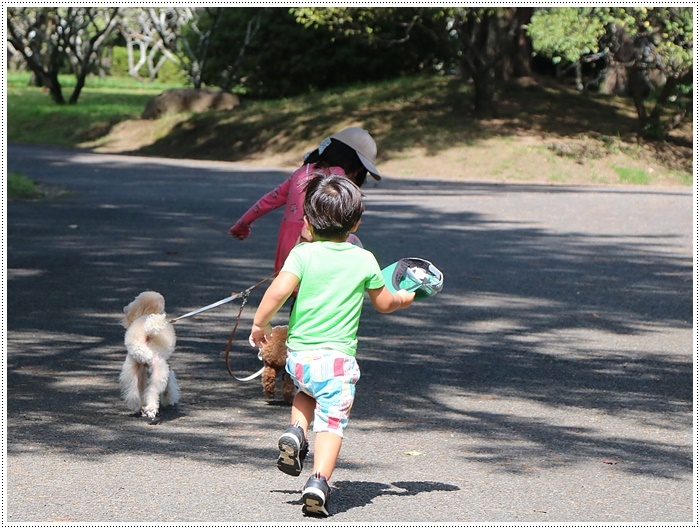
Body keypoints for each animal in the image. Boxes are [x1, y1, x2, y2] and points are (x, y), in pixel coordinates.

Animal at [119, 290, 178, 418]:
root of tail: (147, 333)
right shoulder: (167, 365)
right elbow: (169, 384)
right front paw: (169, 399)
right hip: (159, 367)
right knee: (152, 389)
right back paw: (151, 409)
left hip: (132, 366)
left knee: (133, 389)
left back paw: (137, 406)